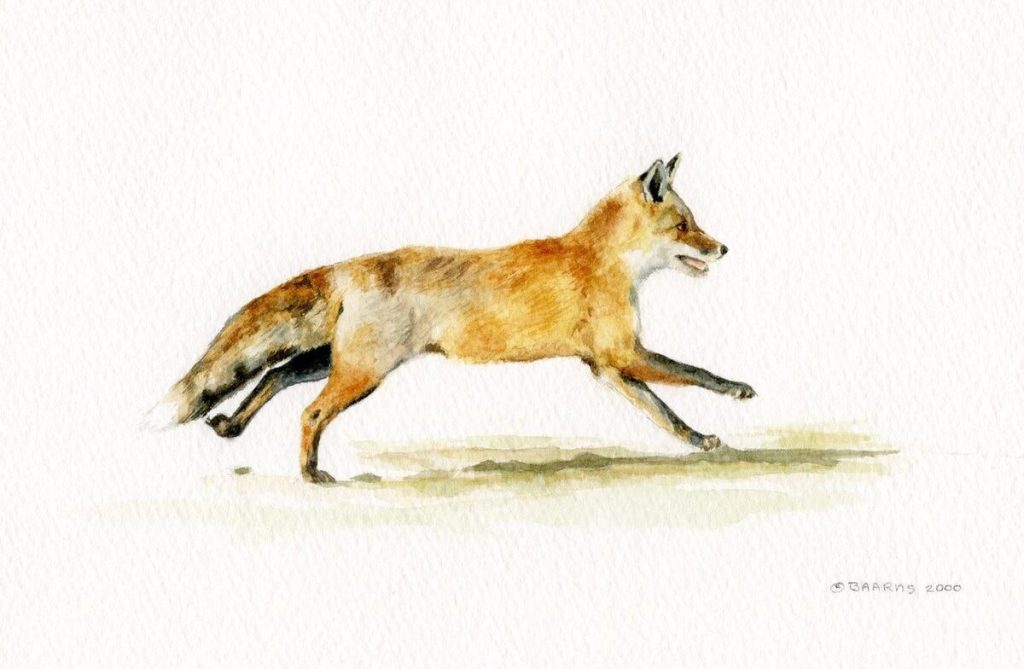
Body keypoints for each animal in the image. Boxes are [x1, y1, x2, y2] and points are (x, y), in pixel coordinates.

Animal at [144, 154, 756, 483]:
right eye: (685, 226)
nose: (725, 248)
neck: (601, 260)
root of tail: (349, 266)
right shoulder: (624, 353)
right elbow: (696, 374)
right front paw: (738, 390)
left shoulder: (607, 366)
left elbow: (664, 413)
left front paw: (697, 439)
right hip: (363, 374)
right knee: (310, 411)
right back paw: (310, 474)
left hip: (333, 362)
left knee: (273, 375)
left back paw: (232, 425)